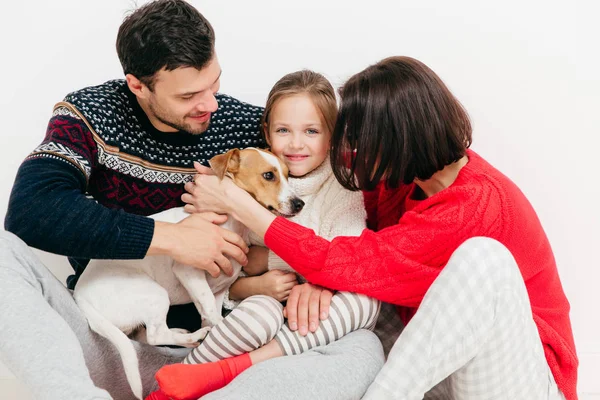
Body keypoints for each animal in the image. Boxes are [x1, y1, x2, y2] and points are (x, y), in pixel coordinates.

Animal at [74, 148, 304, 400]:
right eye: (268, 175)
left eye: (288, 174)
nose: (300, 203)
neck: (233, 222)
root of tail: (79, 297)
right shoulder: (190, 272)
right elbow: (212, 311)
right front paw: (220, 325)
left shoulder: (219, 289)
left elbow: (208, 310)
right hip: (155, 294)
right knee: (155, 335)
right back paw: (194, 336)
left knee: (145, 336)